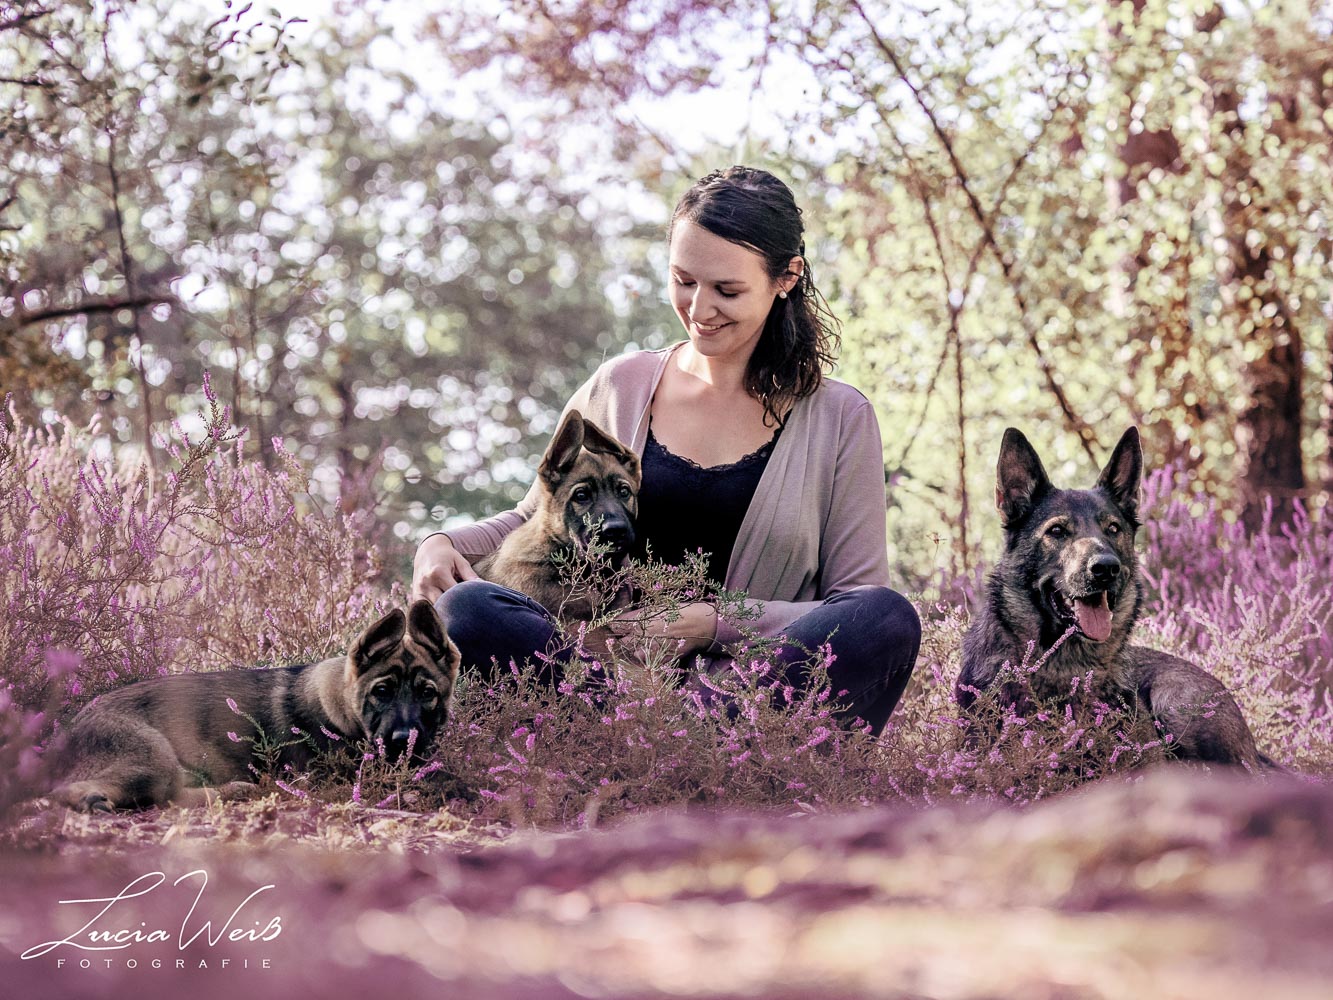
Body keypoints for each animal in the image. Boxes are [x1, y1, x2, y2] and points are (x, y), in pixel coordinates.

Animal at [51, 602, 461, 816]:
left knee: (171, 797)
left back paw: (233, 790)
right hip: (153, 758)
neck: (343, 708)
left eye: (427, 693)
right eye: (382, 691)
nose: (404, 740)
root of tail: (68, 730)